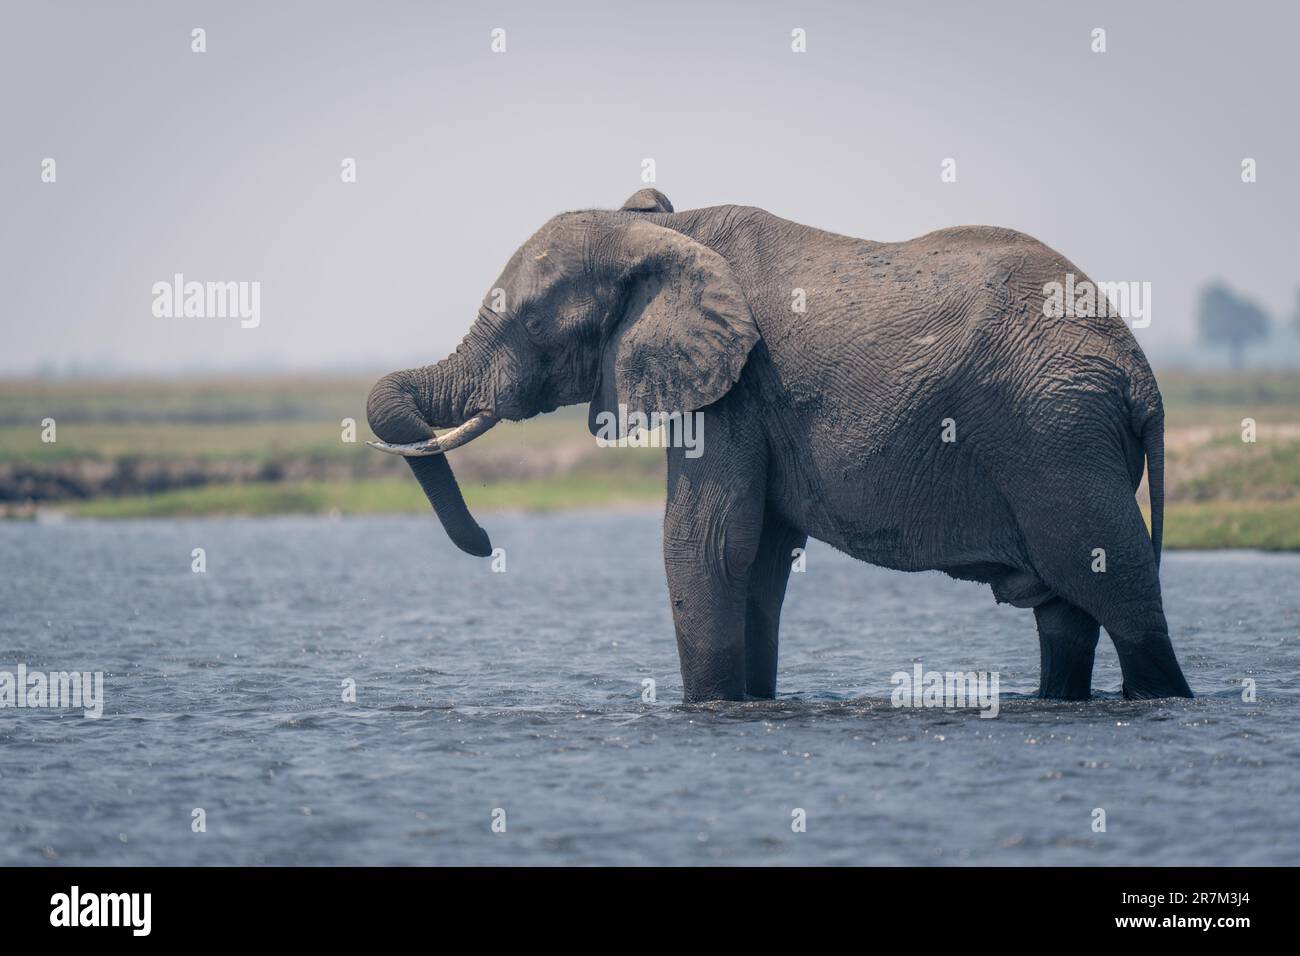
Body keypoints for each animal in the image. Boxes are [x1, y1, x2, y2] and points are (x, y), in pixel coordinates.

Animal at [365, 187, 1193, 704]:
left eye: (532, 322)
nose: (486, 542)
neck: (668, 231)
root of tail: (1142, 377)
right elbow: (758, 557)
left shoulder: (735, 386)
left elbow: (705, 543)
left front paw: (709, 708)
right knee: (1067, 612)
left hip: (1055, 434)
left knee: (1118, 594)